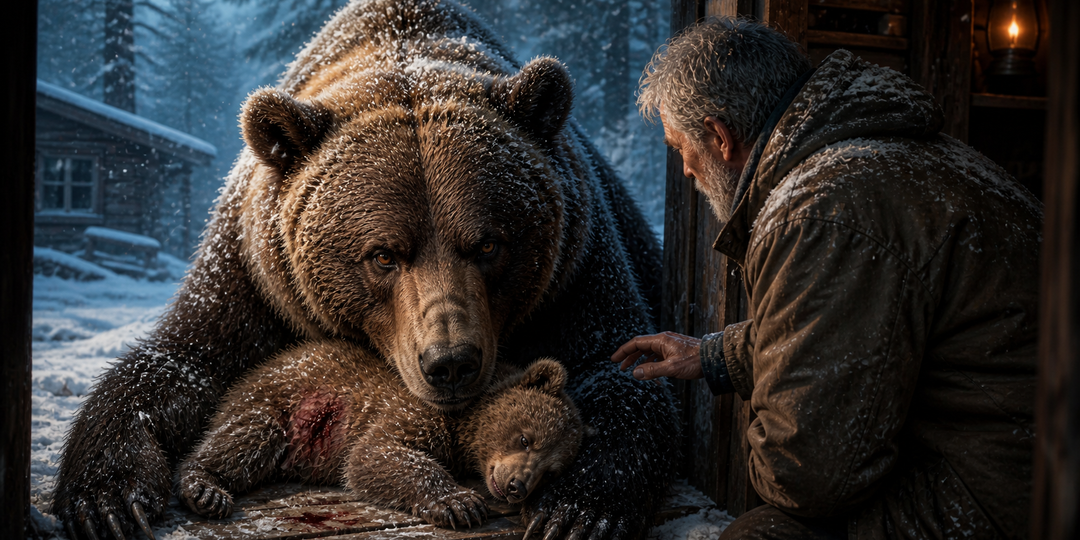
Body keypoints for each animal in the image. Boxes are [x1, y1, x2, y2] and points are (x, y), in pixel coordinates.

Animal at [177, 341, 587, 529]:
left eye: (550, 471)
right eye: (525, 438)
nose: (517, 485)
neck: (463, 422)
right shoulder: (412, 410)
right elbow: (374, 454)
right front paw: (459, 502)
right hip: (279, 400)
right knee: (246, 439)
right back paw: (206, 488)